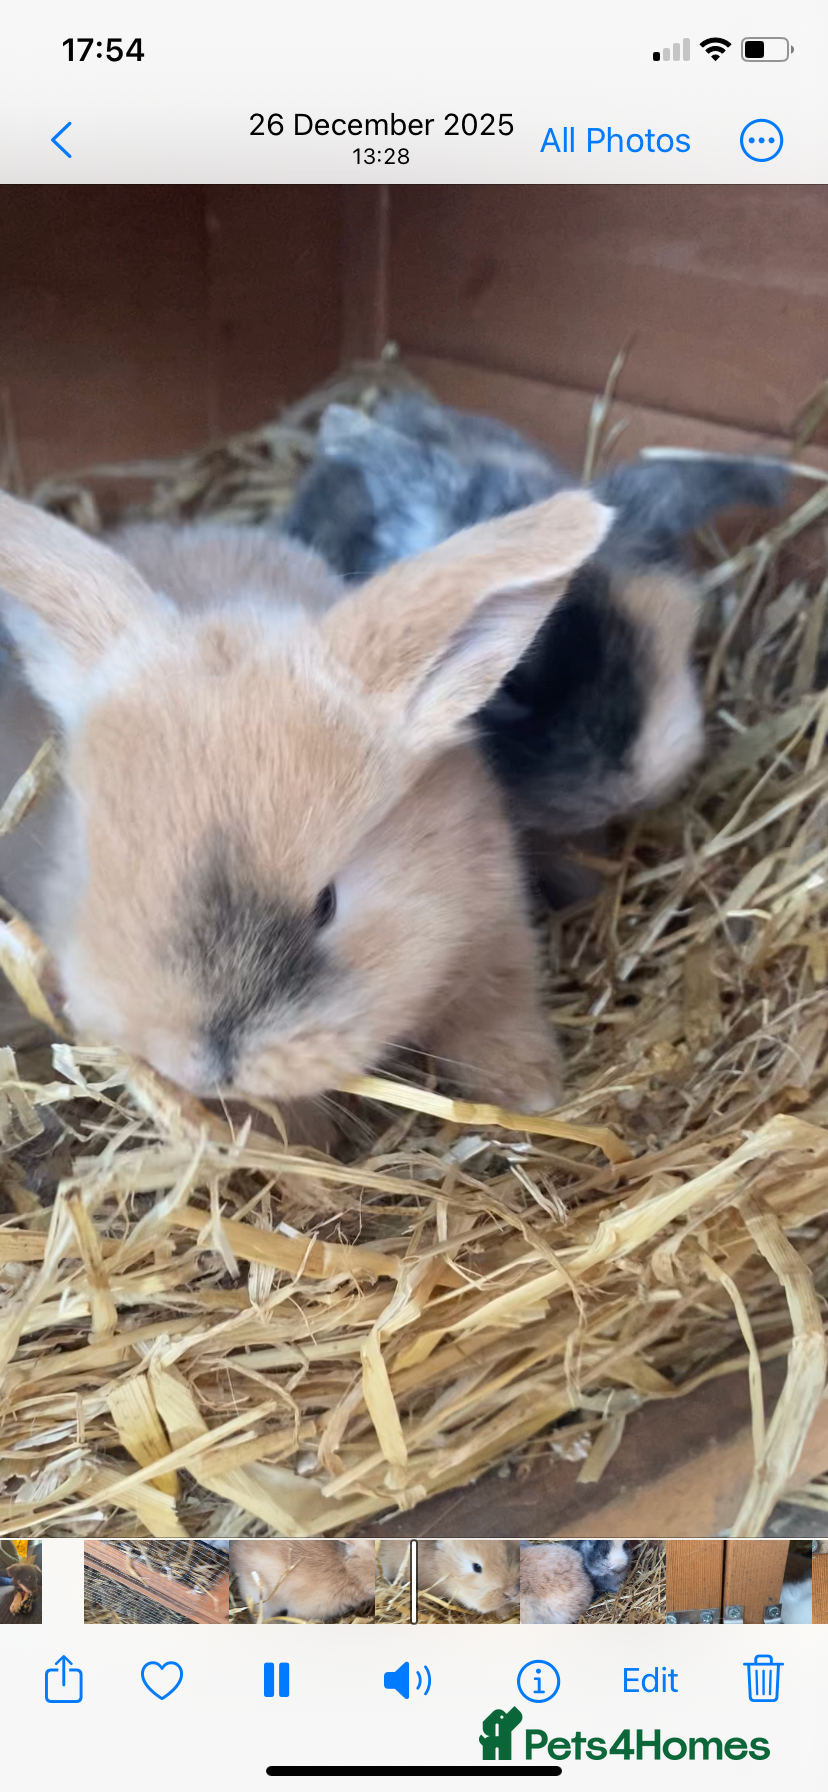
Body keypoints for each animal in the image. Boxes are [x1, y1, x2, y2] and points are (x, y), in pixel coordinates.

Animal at [0, 486, 610, 1111]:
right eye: (95, 874)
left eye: (326, 905)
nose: (201, 1067)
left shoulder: (495, 931)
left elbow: (497, 1013)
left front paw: (532, 1092)